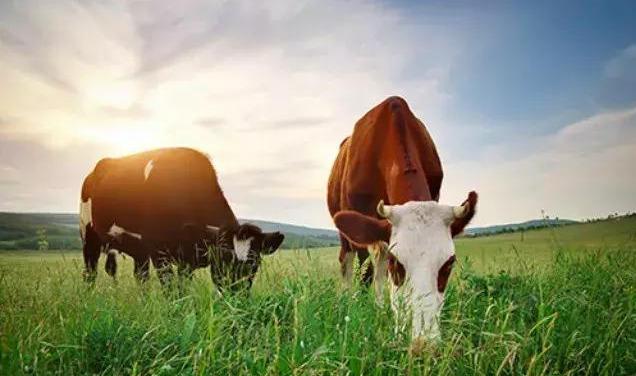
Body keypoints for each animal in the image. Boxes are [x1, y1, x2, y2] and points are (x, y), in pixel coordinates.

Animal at [79, 148, 284, 292]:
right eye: (224, 261)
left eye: (254, 265)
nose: (238, 297)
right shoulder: (158, 251)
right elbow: (170, 289)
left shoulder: (187, 258)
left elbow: (182, 288)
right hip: (88, 235)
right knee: (90, 273)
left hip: (138, 250)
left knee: (140, 277)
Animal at [328, 96, 476, 346]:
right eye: (396, 264)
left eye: (449, 264)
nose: (423, 344)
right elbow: (372, 270)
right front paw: (371, 312)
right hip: (346, 232)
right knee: (348, 262)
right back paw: (347, 299)